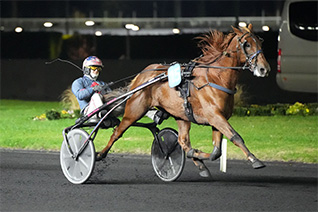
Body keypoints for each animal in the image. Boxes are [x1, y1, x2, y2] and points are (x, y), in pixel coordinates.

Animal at [97, 24, 270, 177]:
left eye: (260, 41)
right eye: (247, 44)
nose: (264, 69)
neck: (216, 77)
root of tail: (142, 76)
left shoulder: (218, 118)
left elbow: (217, 151)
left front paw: (200, 155)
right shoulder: (214, 115)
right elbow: (235, 136)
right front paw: (255, 160)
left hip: (181, 115)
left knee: (183, 141)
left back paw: (199, 163)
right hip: (135, 110)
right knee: (117, 132)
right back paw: (99, 154)